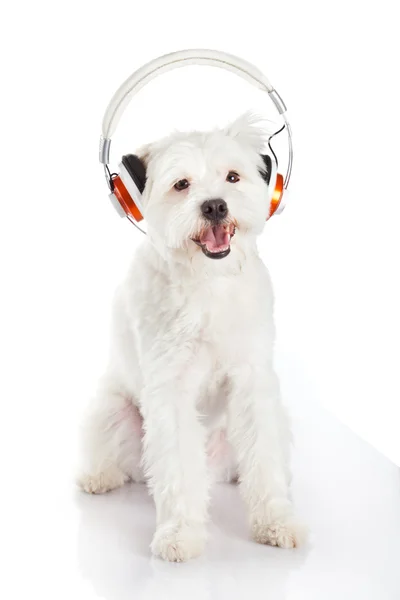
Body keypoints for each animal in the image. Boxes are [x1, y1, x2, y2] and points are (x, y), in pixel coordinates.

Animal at [78, 113, 304, 564]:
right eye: (181, 184)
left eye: (232, 177)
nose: (215, 205)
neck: (208, 280)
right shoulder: (171, 389)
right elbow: (178, 471)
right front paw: (180, 534)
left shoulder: (252, 382)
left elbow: (265, 461)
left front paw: (276, 522)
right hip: (112, 410)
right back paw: (99, 476)